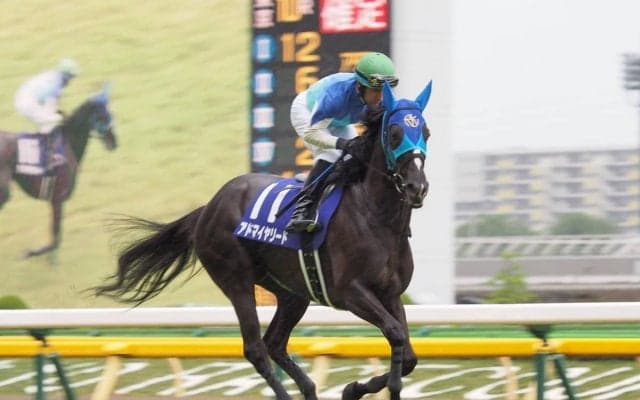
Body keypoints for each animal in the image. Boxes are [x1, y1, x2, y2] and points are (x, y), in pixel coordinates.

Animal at [0, 84, 117, 258]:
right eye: (103, 115)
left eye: (110, 114)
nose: (114, 141)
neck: (68, 143)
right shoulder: (57, 198)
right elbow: (55, 240)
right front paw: (33, 252)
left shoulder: (55, 200)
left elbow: (56, 238)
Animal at [94, 80, 432, 400]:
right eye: (395, 133)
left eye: (425, 132)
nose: (417, 187)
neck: (375, 216)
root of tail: (207, 209)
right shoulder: (350, 292)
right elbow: (395, 334)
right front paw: (361, 389)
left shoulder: (390, 293)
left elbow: (408, 353)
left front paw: (355, 388)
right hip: (236, 279)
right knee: (255, 348)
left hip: (291, 291)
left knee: (274, 343)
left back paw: (309, 389)